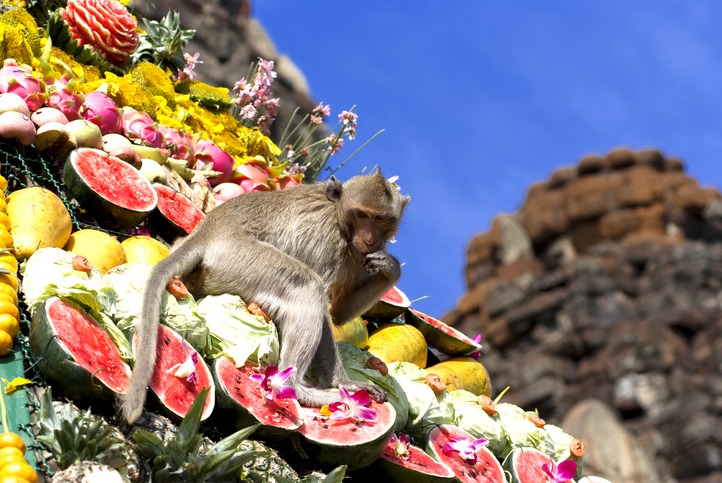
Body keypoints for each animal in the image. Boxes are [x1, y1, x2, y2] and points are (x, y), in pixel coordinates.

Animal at [121, 171, 410, 423]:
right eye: (362, 215)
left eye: (380, 219)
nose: (369, 239)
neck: (339, 218)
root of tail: (206, 234)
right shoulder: (327, 243)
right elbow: (326, 312)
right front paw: (343, 383)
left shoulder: (361, 256)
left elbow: (340, 312)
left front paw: (391, 267)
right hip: (240, 260)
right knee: (307, 286)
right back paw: (297, 389)